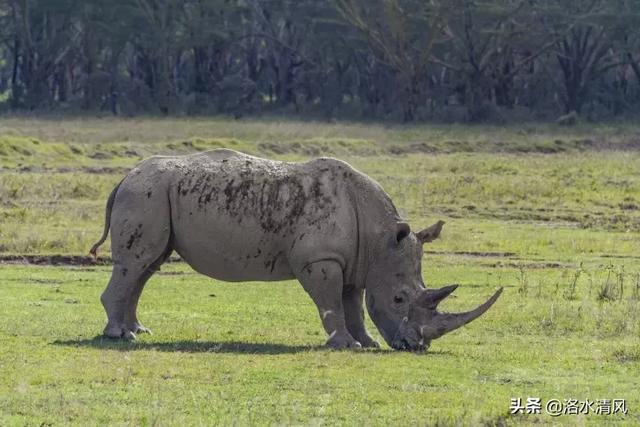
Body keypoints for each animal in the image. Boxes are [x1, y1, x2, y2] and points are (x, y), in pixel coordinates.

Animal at [90, 150, 502, 352]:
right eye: (400, 298)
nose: (416, 347)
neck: (379, 238)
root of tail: (125, 176)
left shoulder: (357, 262)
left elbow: (354, 302)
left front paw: (366, 343)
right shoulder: (321, 259)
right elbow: (331, 302)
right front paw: (345, 346)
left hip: (154, 195)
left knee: (146, 266)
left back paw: (138, 330)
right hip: (146, 194)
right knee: (135, 264)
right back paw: (120, 337)